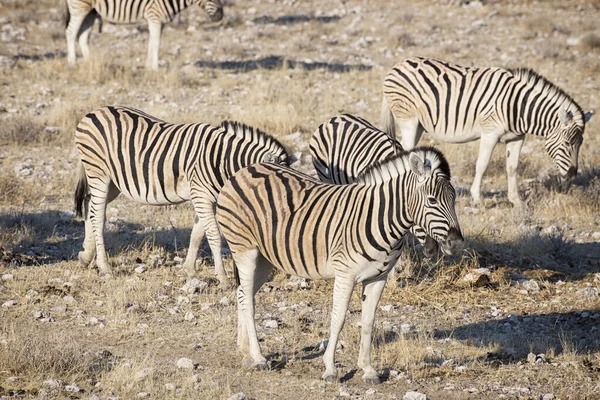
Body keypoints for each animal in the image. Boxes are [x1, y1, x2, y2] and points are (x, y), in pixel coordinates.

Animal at [63, 0, 224, 69]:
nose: (221, 16)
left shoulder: (160, 21)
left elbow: (152, 43)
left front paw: (148, 66)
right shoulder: (154, 17)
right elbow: (157, 44)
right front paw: (155, 68)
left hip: (91, 11)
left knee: (82, 36)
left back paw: (90, 62)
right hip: (80, 8)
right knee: (71, 32)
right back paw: (72, 63)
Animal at [72, 104, 288, 286]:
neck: (222, 160)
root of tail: (95, 111)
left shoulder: (207, 198)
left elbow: (197, 234)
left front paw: (189, 270)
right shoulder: (201, 194)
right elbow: (213, 235)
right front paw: (223, 278)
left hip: (114, 182)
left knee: (89, 206)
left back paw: (85, 256)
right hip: (99, 173)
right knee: (98, 216)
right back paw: (104, 267)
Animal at [216, 148, 464, 384]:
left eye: (454, 200)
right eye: (432, 200)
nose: (457, 243)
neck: (380, 219)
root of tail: (247, 169)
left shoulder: (378, 278)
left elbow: (368, 322)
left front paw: (368, 370)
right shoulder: (345, 274)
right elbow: (339, 319)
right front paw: (330, 369)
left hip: (266, 258)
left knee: (243, 294)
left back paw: (245, 349)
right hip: (245, 250)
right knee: (248, 300)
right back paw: (259, 358)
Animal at [382, 57, 592, 206]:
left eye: (581, 143)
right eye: (568, 143)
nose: (572, 175)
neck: (518, 106)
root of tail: (396, 66)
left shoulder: (517, 137)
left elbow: (512, 167)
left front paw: (516, 201)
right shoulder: (490, 133)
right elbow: (482, 165)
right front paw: (477, 199)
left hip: (419, 124)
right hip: (408, 120)